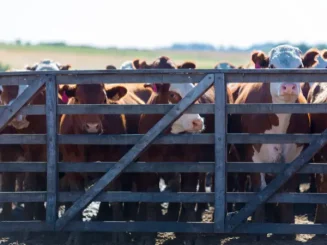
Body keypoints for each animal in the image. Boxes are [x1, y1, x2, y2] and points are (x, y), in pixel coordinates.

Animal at [232, 44, 314, 237]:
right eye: (271, 66)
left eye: (300, 66)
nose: (289, 86)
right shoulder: (253, 156)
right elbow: (260, 191)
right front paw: (258, 230)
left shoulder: (294, 157)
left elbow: (288, 191)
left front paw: (286, 229)